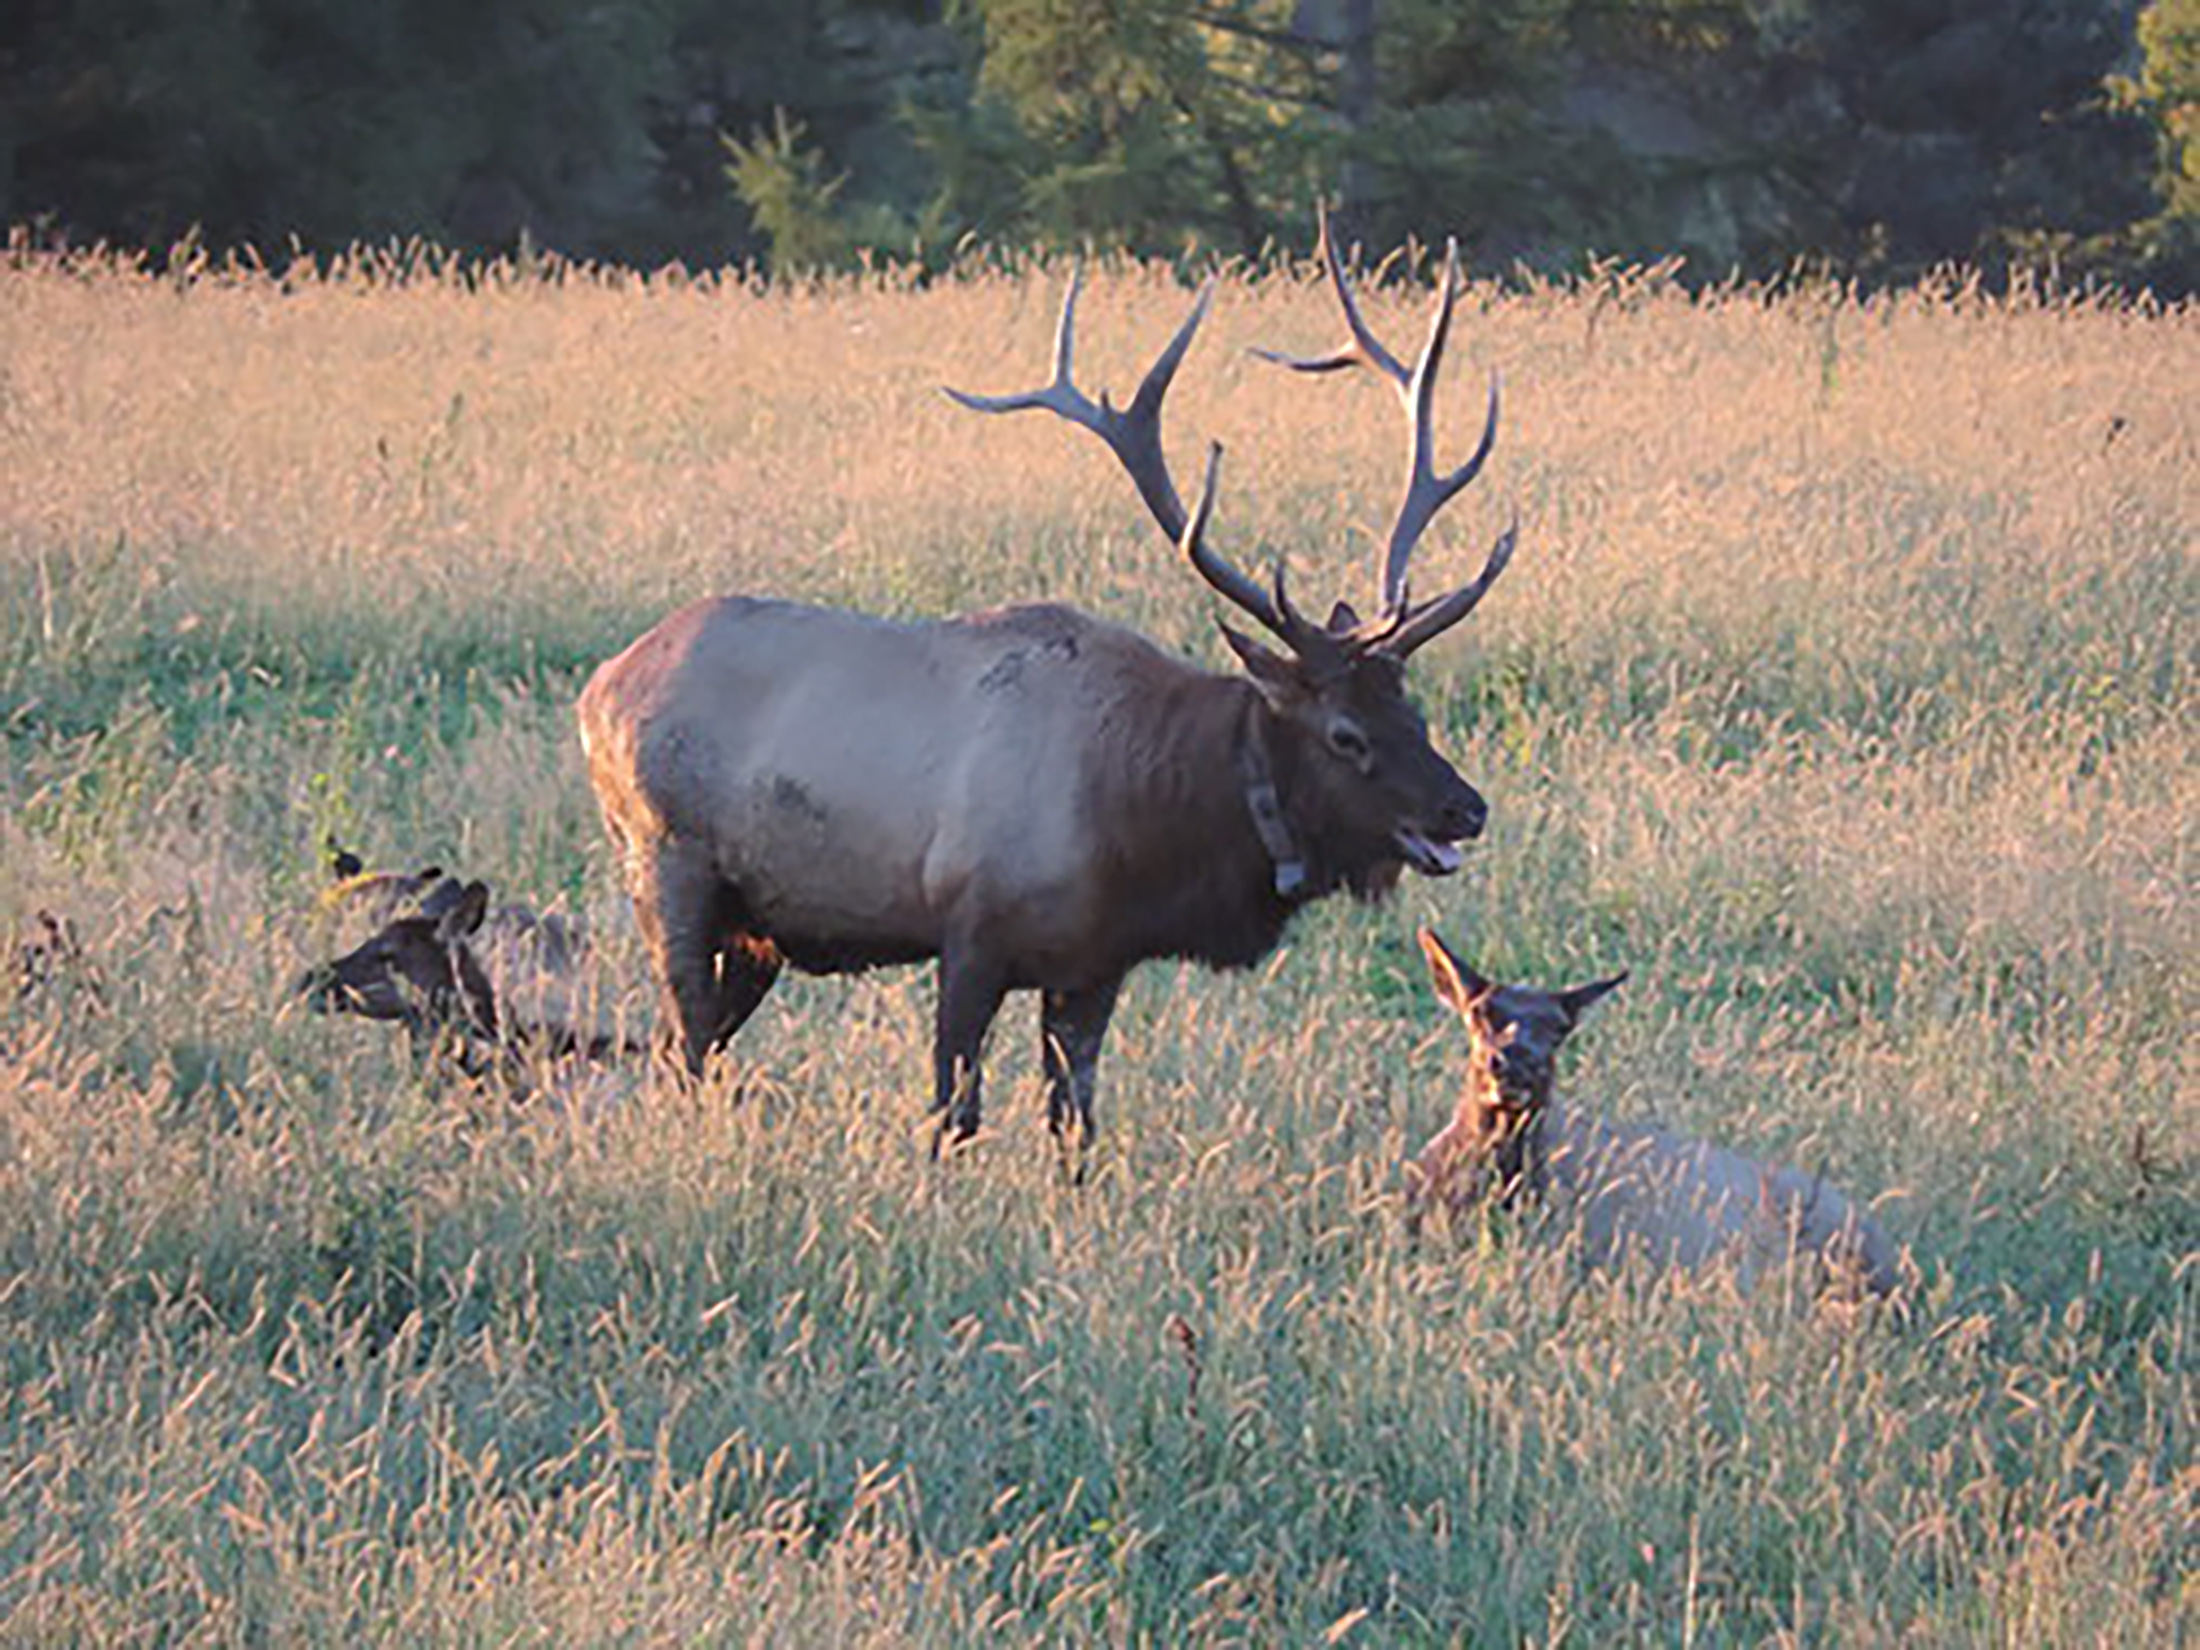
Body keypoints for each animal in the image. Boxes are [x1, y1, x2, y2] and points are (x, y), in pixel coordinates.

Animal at [578, 212, 1519, 1170]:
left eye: (1412, 709)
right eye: (1344, 734)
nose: (1466, 808)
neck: (1143, 826)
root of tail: (600, 683)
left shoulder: (1094, 967)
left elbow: (1076, 1127)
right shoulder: (970, 931)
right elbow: (952, 1116)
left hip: (755, 925)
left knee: (684, 1047)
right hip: (665, 860)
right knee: (688, 1038)